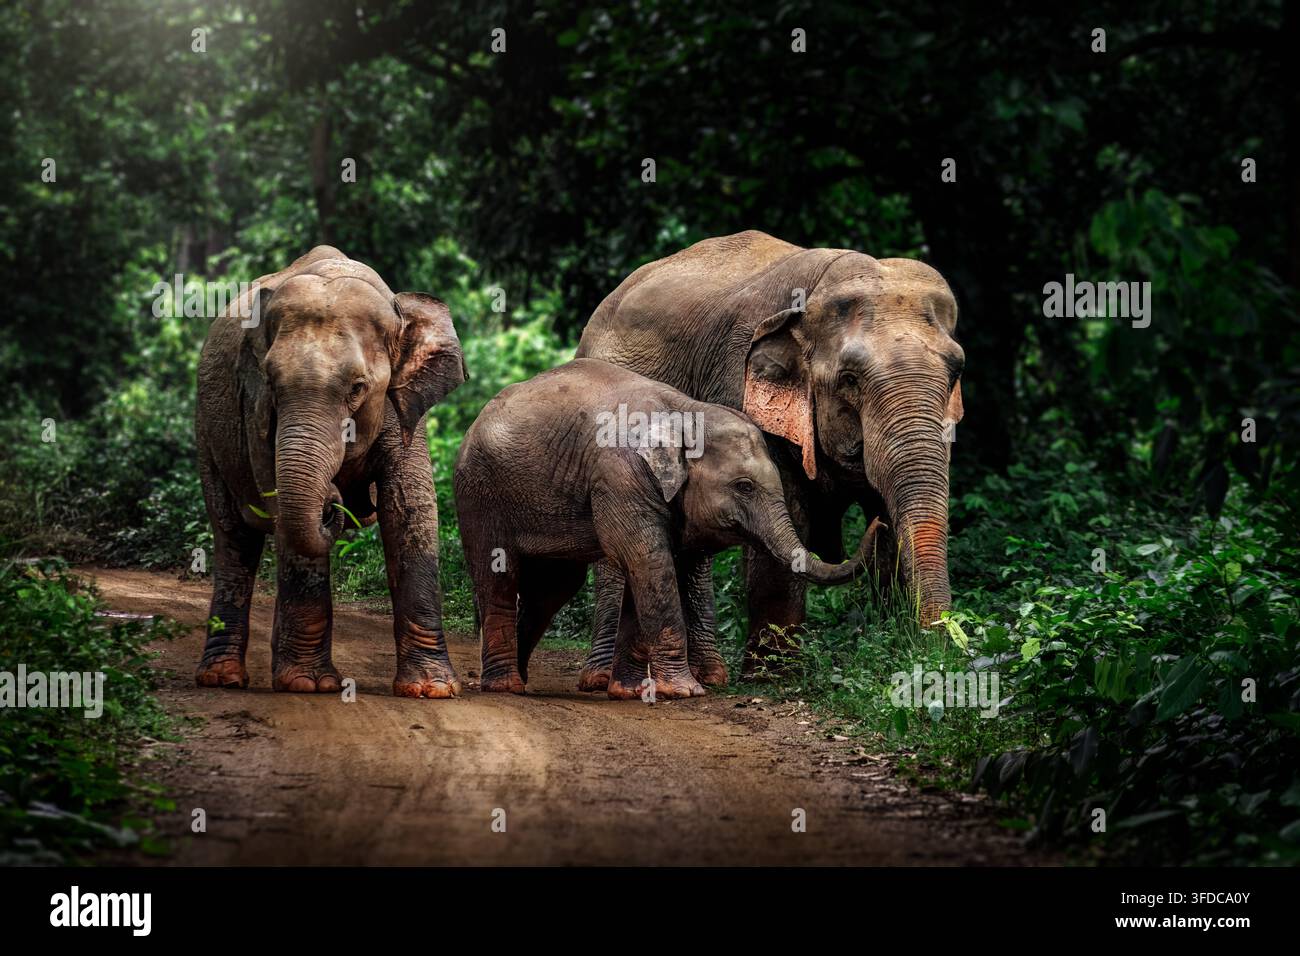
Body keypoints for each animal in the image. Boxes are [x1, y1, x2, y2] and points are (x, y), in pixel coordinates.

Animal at [194, 245, 467, 697]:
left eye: (357, 388)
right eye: (271, 383)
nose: (335, 499)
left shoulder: (405, 408)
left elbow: (410, 510)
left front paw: (433, 690)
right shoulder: (256, 414)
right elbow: (284, 511)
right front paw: (309, 684)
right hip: (206, 432)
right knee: (234, 537)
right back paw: (223, 678)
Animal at [453, 358, 882, 700]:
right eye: (744, 486)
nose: (879, 522)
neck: (687, 410)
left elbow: (648, 568)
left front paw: (630, 692)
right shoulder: (621, 475)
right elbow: (650, 562)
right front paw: (685, 692)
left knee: (554, 587)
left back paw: (520, 681)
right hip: (479, 490)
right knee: (500, 575)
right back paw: (505, 687)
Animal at [574, 230, 964, 686]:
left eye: (956, 373)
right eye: (849, 379)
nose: (938, 657)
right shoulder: (740, 388)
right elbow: (787, 510)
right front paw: (773, 676)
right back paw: (606, 679)